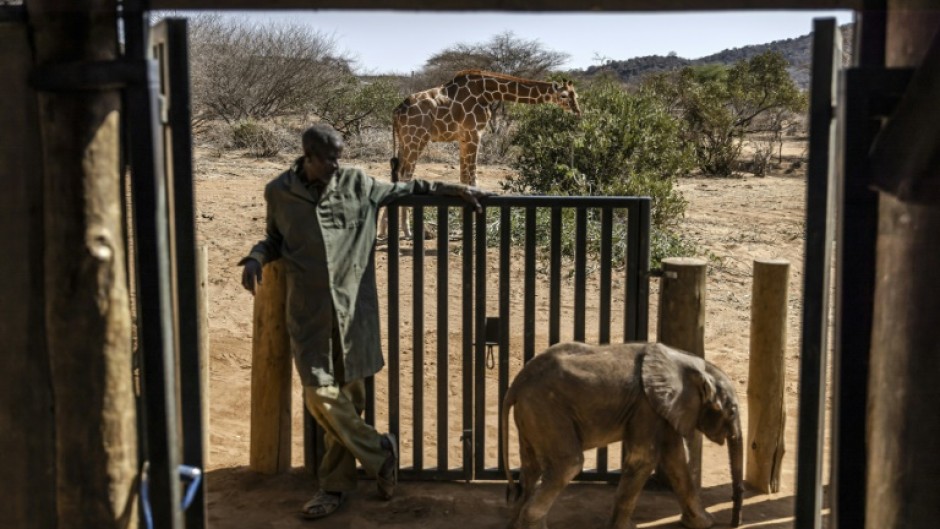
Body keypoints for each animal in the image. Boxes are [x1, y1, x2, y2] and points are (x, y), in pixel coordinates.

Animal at [379, 69, 581, 240]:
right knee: (405, 176)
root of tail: (396, 111)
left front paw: (464, 227)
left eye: (576, 96)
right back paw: (407, 231)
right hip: (416, 139)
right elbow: (472, 178)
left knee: (397, 174)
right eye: (564, 96)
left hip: (404, 140)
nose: (577, 111)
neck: (489, 92)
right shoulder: (474, 133)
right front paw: (474, 228)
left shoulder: (463, 138)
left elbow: (464, 178)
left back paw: (385, 230)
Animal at [500, 341, 743, 529]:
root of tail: (517, 383)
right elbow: (644, 459)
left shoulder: (664, 409)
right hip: (546, 409)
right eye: (732, 411)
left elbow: (676, 460)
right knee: (567, 465)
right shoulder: (647, 407)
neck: (694, 366)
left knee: (531, 469)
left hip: (532, 413)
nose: (734, 523)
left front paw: (705, 523)